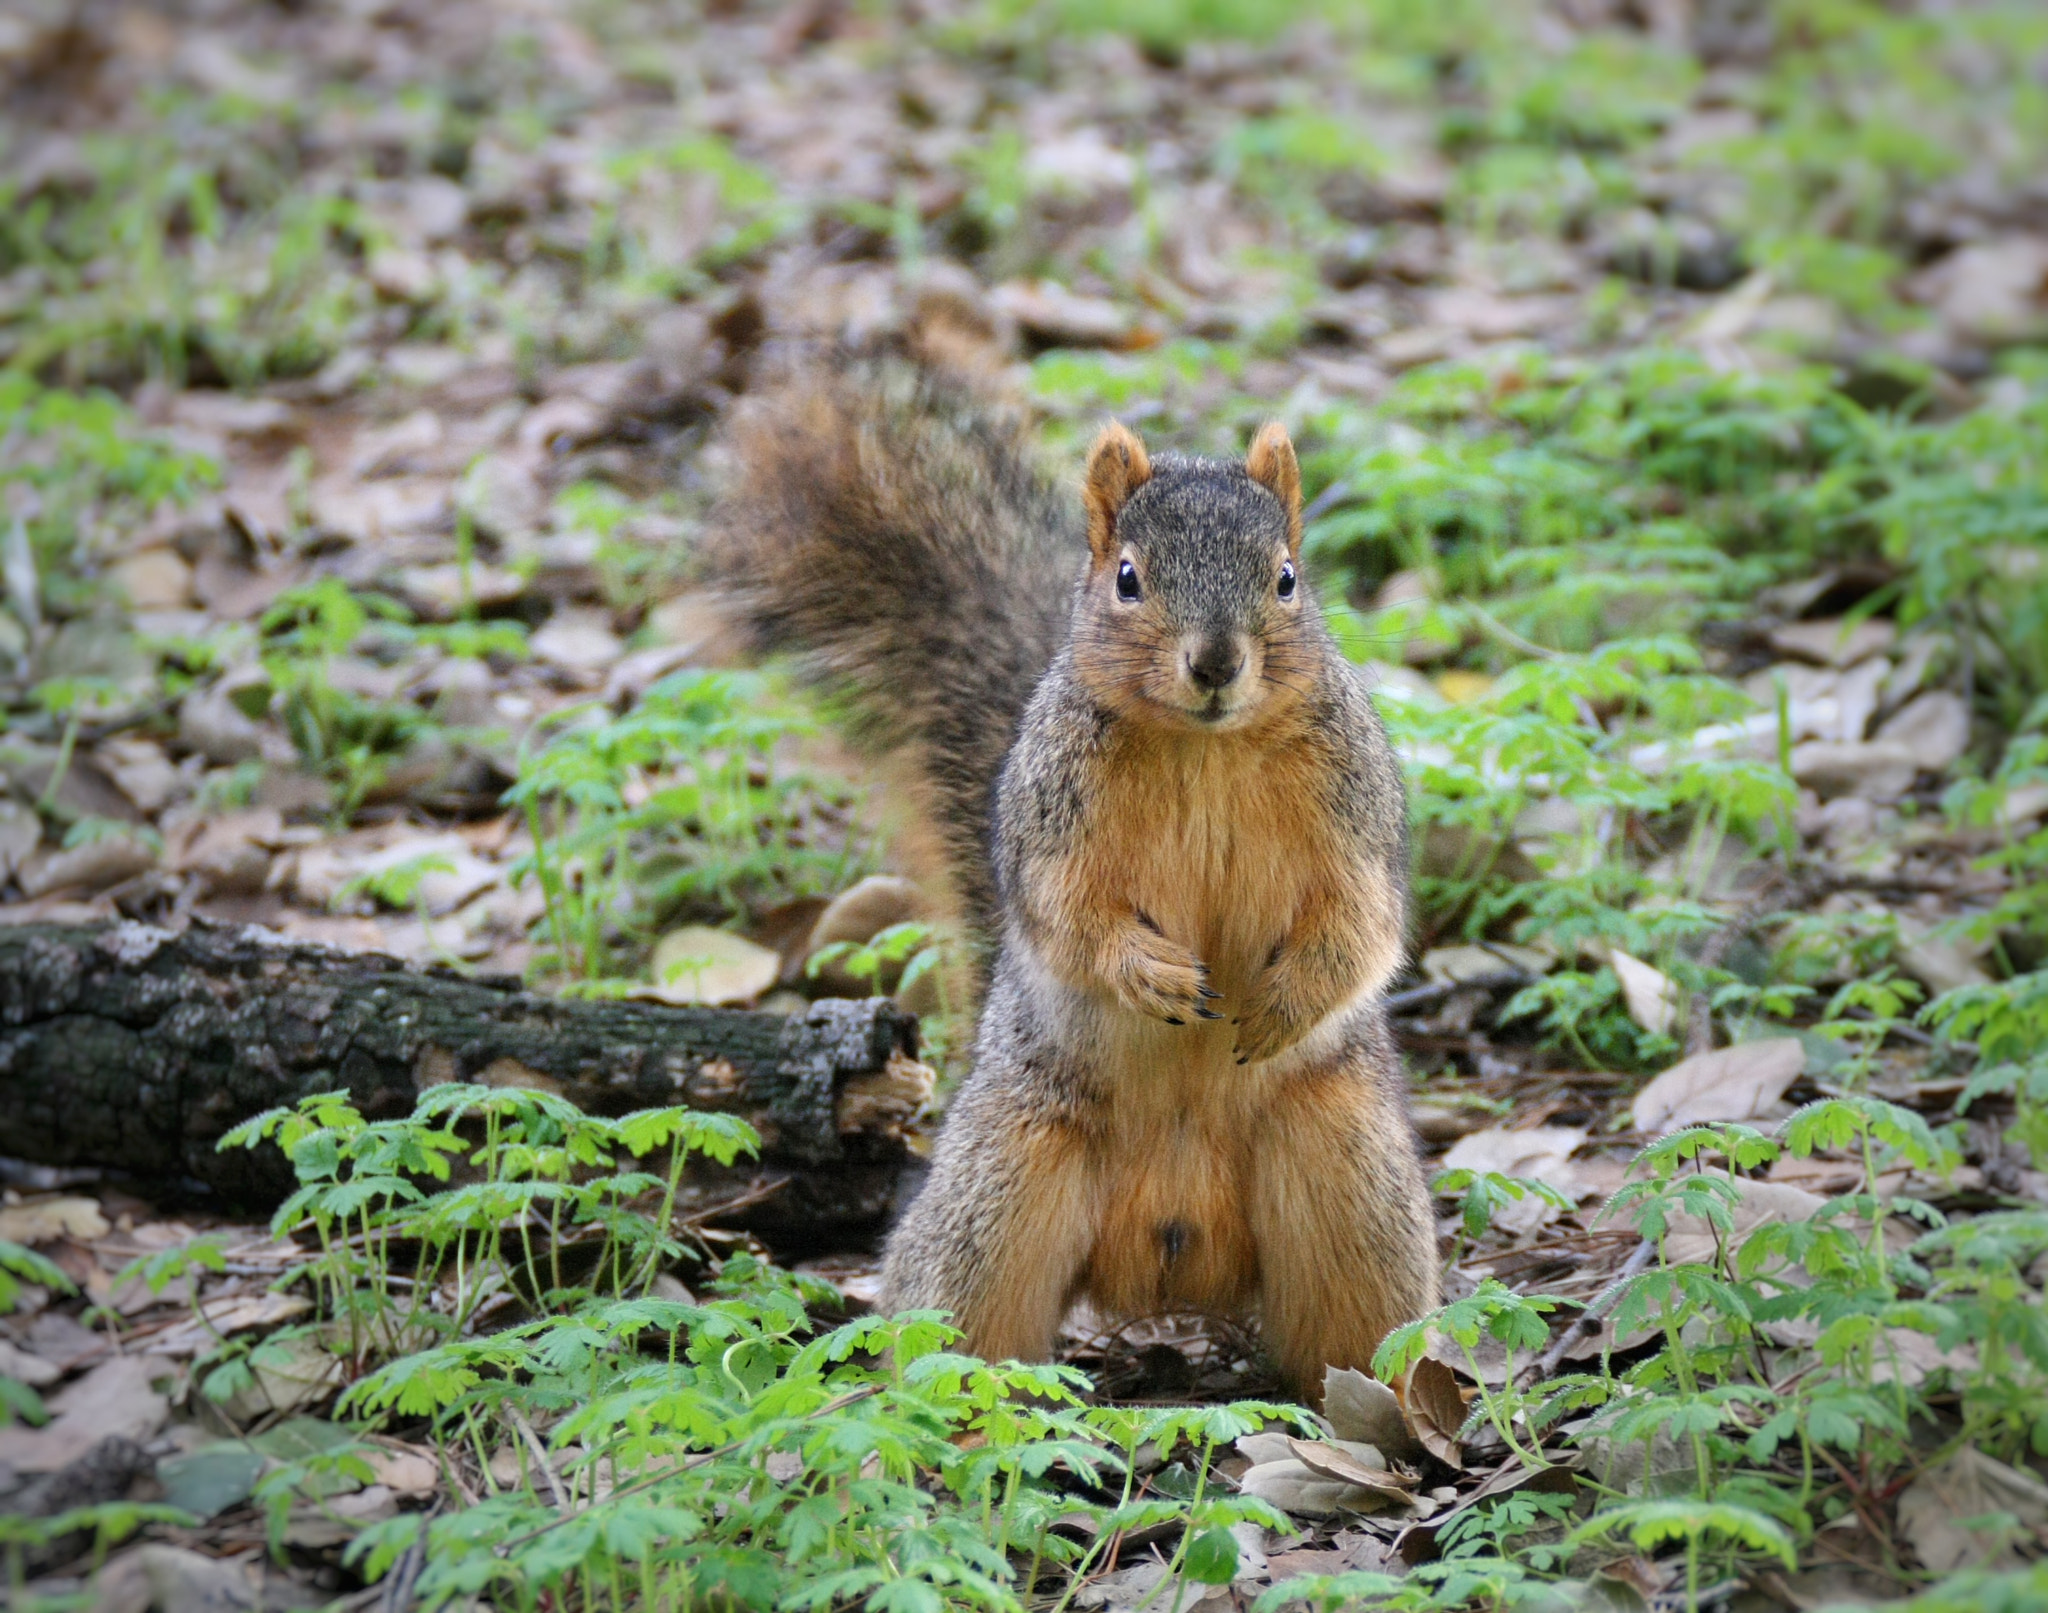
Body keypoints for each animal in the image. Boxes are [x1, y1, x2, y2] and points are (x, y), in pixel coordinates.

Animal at [705, 352, 1440, 1396]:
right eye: (1127, 579)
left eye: (1288, 578)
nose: (1216, 662)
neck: (1202, 745)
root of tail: (1172, 1267)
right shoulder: (1051, 817)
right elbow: (1066, 915)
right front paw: (1152, 974)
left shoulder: (1357, 809)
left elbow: (1364, 922)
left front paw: (1283, 1000)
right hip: (1004, 1184)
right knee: (958, 1321)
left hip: (1348, 1172)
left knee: (1359, 1331)